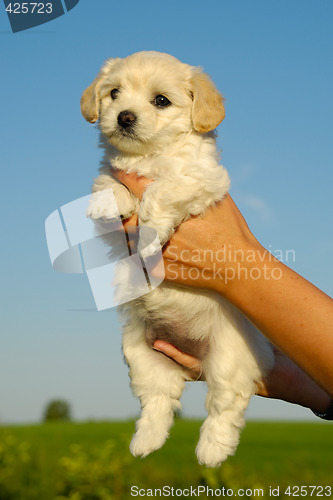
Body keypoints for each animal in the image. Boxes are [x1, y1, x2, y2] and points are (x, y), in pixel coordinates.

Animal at [80, 52, 272, 466]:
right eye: (114, 93)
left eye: (161, 101)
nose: (124, 116)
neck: (149, 156)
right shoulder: (112, 176)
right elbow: (107, 182)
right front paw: (108, 202)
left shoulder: (201, 179)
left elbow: (161, 190)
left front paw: (151, 234)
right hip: (140, 352)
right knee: (158, 401)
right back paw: (145, 442)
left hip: (229, 357)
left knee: (225, 405)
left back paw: (212, 451)